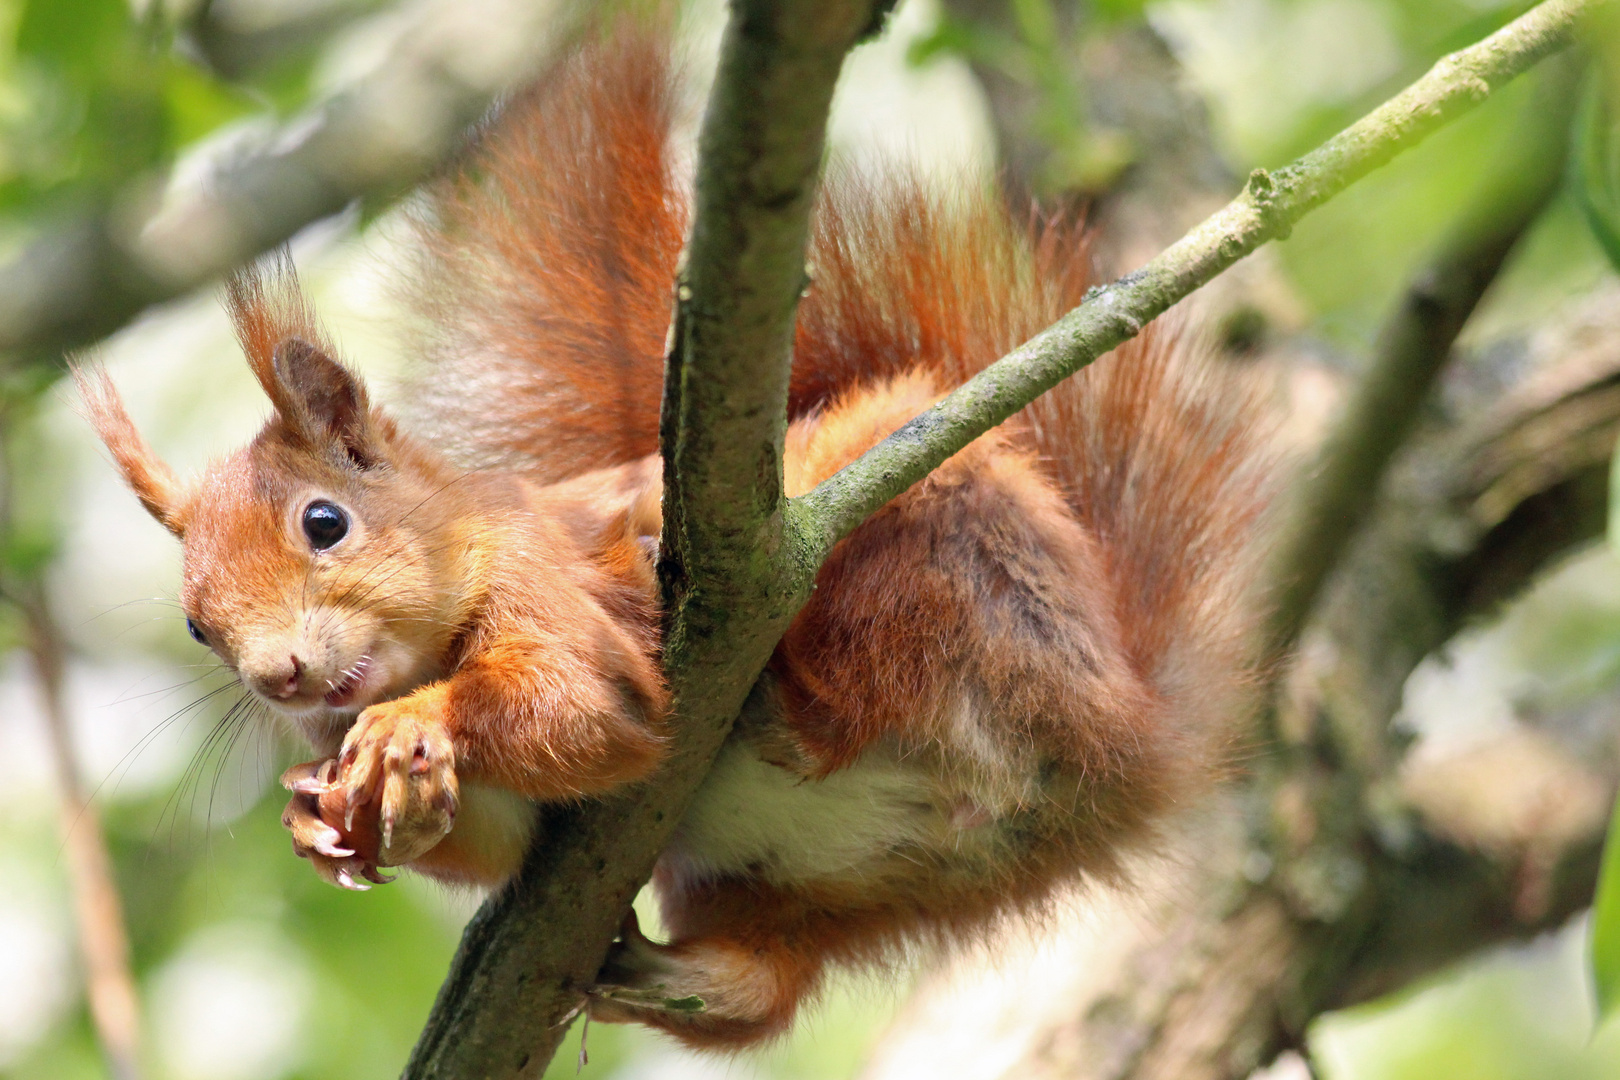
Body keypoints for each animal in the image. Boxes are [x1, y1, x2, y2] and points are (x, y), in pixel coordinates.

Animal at [76, 21, 1270, 1049]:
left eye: (324, 523)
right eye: (195, 625)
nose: (280, 678)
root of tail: (1132, 740)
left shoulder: (544, 583)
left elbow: (584, 707)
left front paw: (413, 726)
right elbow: (505, 835)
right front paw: (332, 815)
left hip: (933, 558)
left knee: (862, 683)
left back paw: (787, 692)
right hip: (859, 887)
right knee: (770, 987)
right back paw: (679, 976)